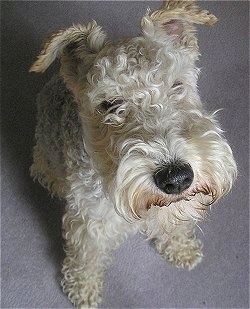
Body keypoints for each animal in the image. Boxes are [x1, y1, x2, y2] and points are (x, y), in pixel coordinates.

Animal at [29, 1, 236, 306]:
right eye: (109, 105)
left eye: (176, 85)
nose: (175, 178)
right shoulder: (89, 225)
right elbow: (86, 259)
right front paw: (83, 288)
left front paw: (181, 248)